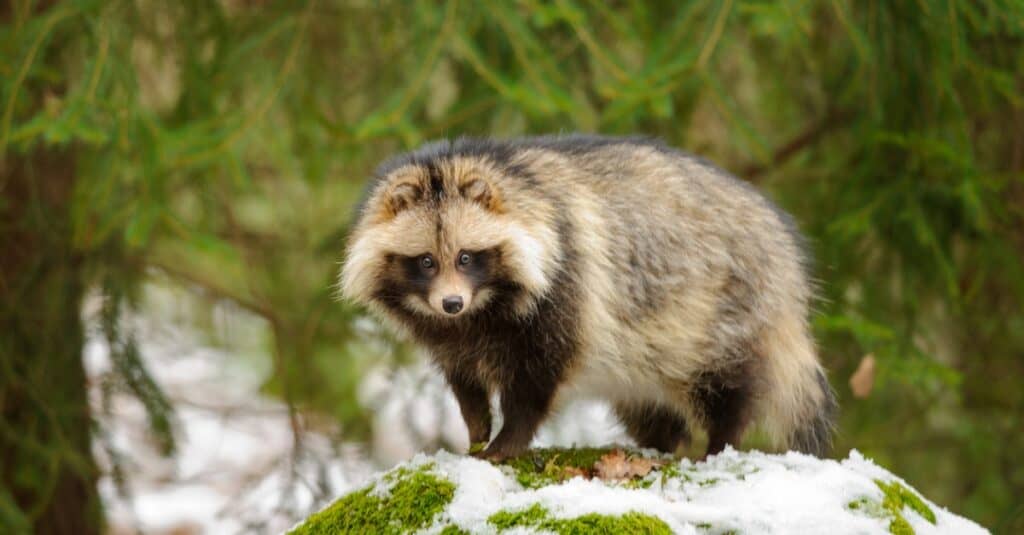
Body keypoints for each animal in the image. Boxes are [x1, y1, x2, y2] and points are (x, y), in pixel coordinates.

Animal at [339, 133, 835, 457]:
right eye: (426, 261)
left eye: (465, 257)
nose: (451, 303)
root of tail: (785, 251)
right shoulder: (448, 333)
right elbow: (464, 379)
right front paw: (476, 428)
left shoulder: (567, 284)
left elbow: (537, 379)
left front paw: (507, 440)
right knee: (651, 407)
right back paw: (662, 444)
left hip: (725, 310)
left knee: (729, 385)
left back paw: (720, 442)